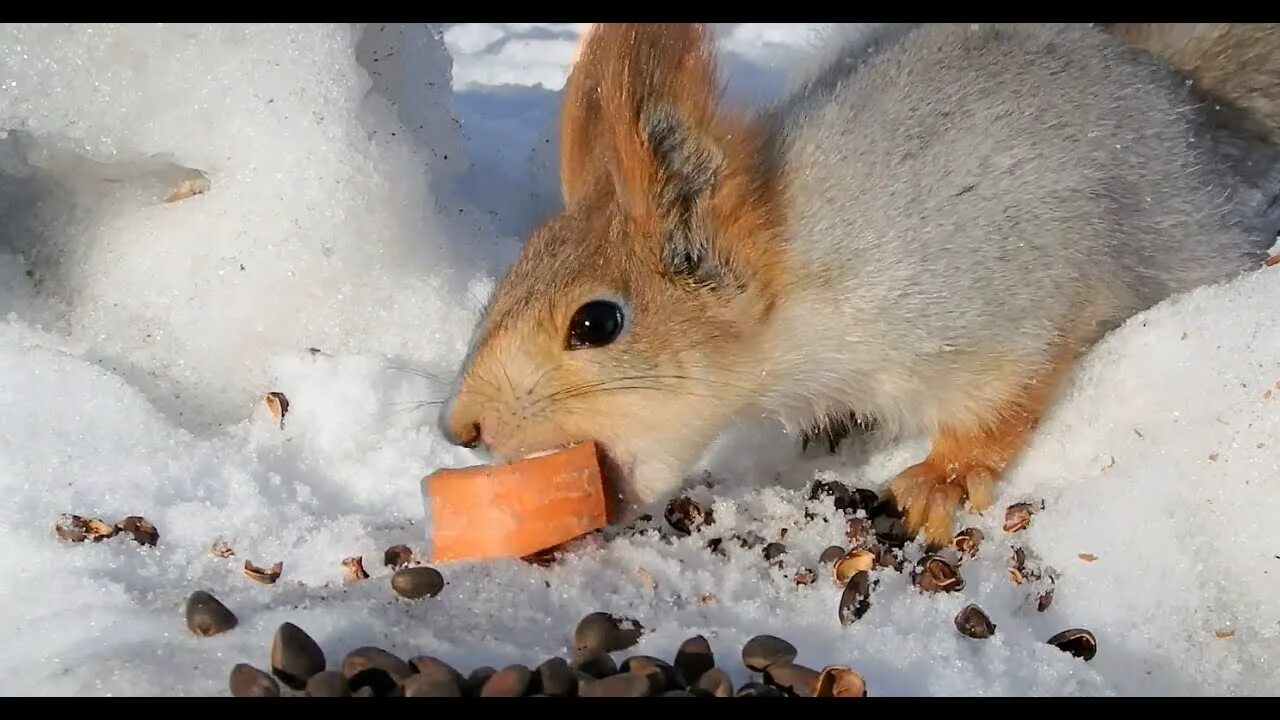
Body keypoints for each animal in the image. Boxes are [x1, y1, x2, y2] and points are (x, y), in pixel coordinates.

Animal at [437, 25, 1280, 545]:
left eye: (597, 323)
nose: (462, 429)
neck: (800, 289)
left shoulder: (995, 300)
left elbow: (1005, 400)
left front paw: (941, 480)